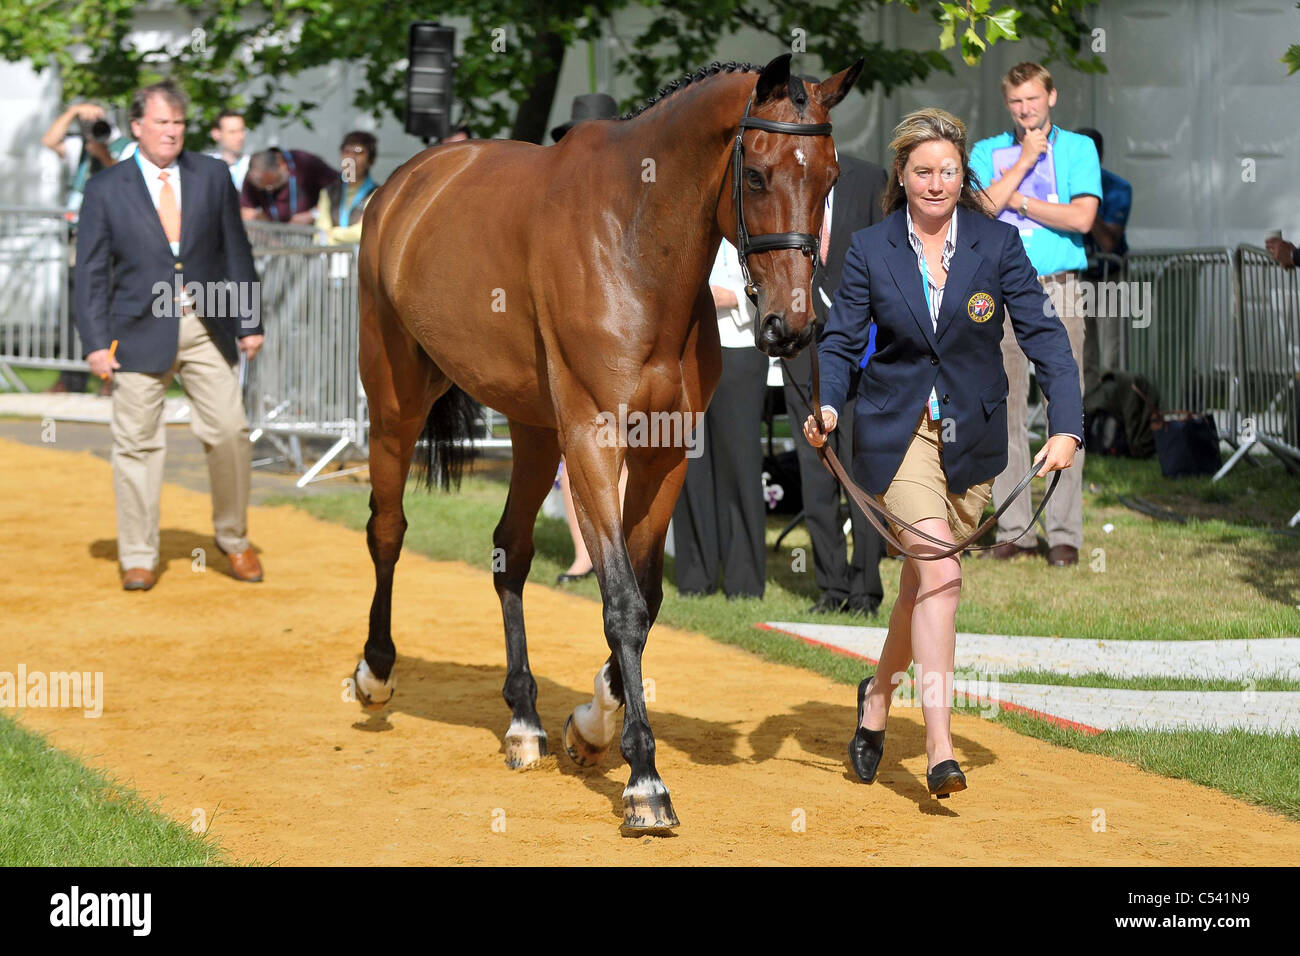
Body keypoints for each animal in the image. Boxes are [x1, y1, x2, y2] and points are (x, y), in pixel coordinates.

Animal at [353, 54, 863, 832]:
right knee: (388, 528)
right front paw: (644, 780)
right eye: (755, 174)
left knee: (510, 552)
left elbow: (646, 599)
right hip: (396, 402)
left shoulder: (662, 452)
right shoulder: (593, 443)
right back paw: (376, 672)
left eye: (831, 178)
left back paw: (523, 719)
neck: (633, 248)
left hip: (534, 430)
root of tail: (407, 183)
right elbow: (620, 601)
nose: (792, 326)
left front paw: (591, 726)